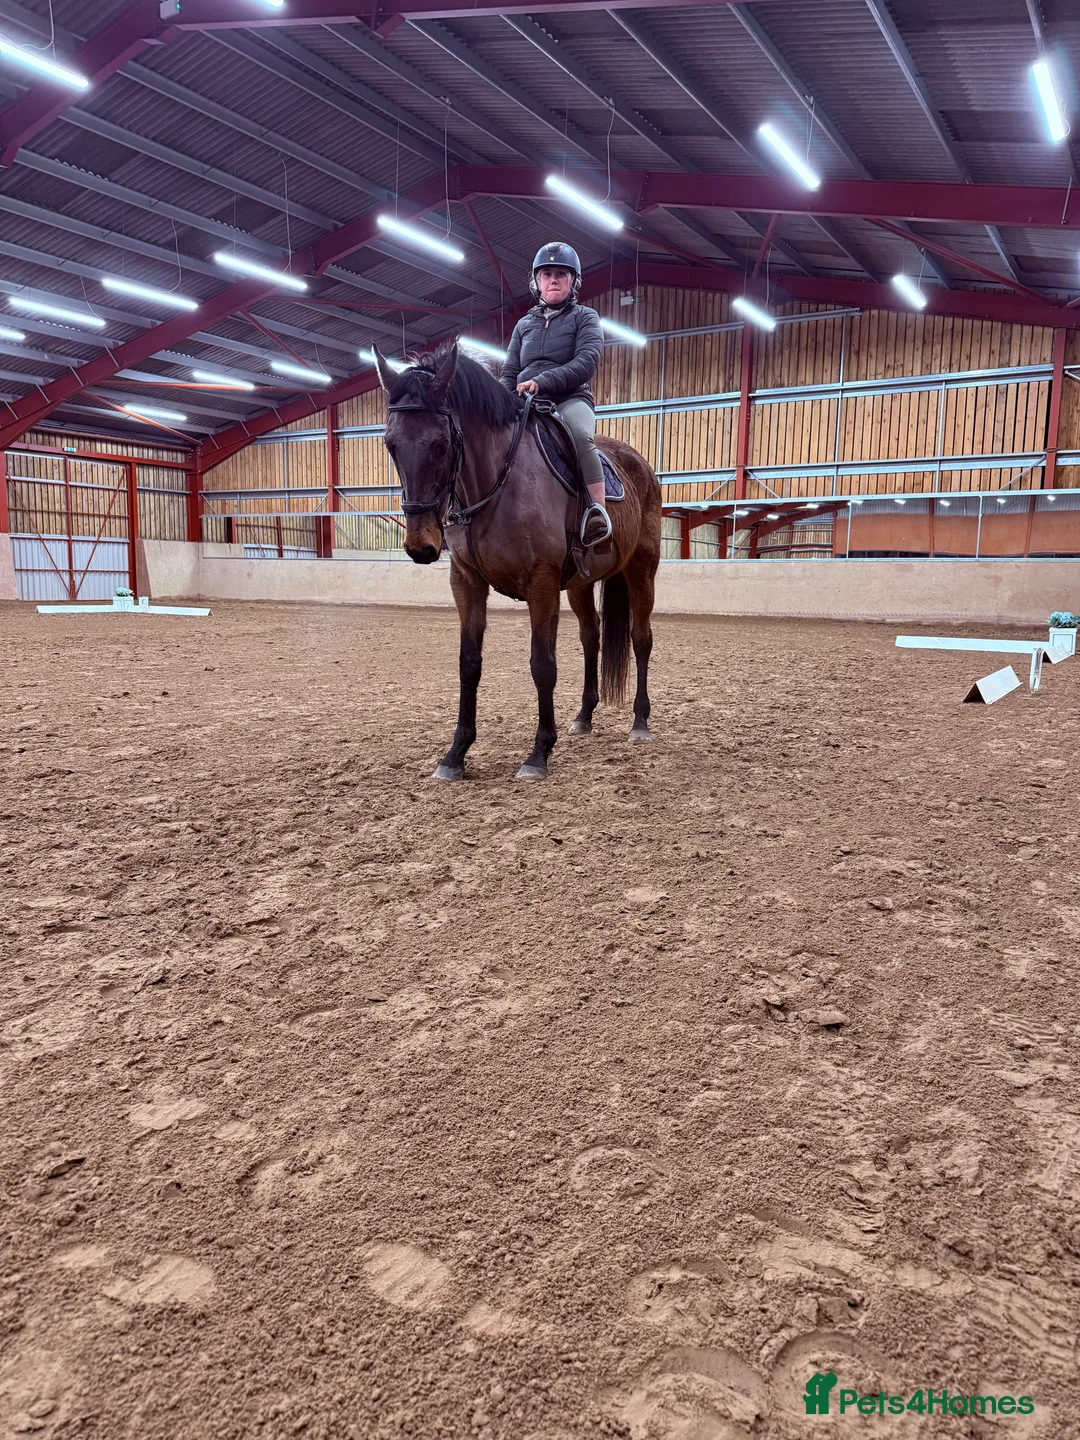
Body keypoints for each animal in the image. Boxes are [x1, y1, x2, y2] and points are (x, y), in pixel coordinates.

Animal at [372, 340, 662, 781]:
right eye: (391, 444)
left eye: (441, 444)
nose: (421, 546)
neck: (496, 481)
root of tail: (640, 465)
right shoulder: (466, 581)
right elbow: (469, 663)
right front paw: (455, 754)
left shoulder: (540, 582)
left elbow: (543, 665)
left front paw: (539, 753)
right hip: (579, 585)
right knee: (591, 637)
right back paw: (584, 716)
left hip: (641, 571)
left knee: (640, 638)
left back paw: (640, 722)